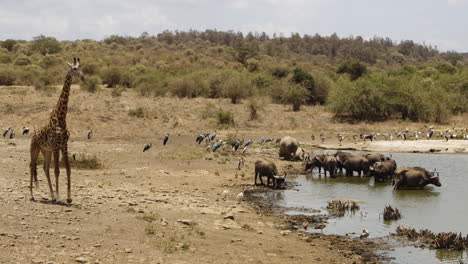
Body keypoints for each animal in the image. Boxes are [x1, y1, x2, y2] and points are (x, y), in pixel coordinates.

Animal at [29, 56, 84, 203]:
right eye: (74, 69)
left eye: (81, 68)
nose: (83, 76)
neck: (61, 117)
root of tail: (32, 135)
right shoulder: (55, 146)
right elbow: (57, 171)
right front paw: (60, 197)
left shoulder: (63, 145)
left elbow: (68, 169)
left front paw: (69, 197)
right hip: (35, 149)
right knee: (32, 166)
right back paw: (32, 195)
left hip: (46, 151)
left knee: (45, 168)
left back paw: (52, 196)